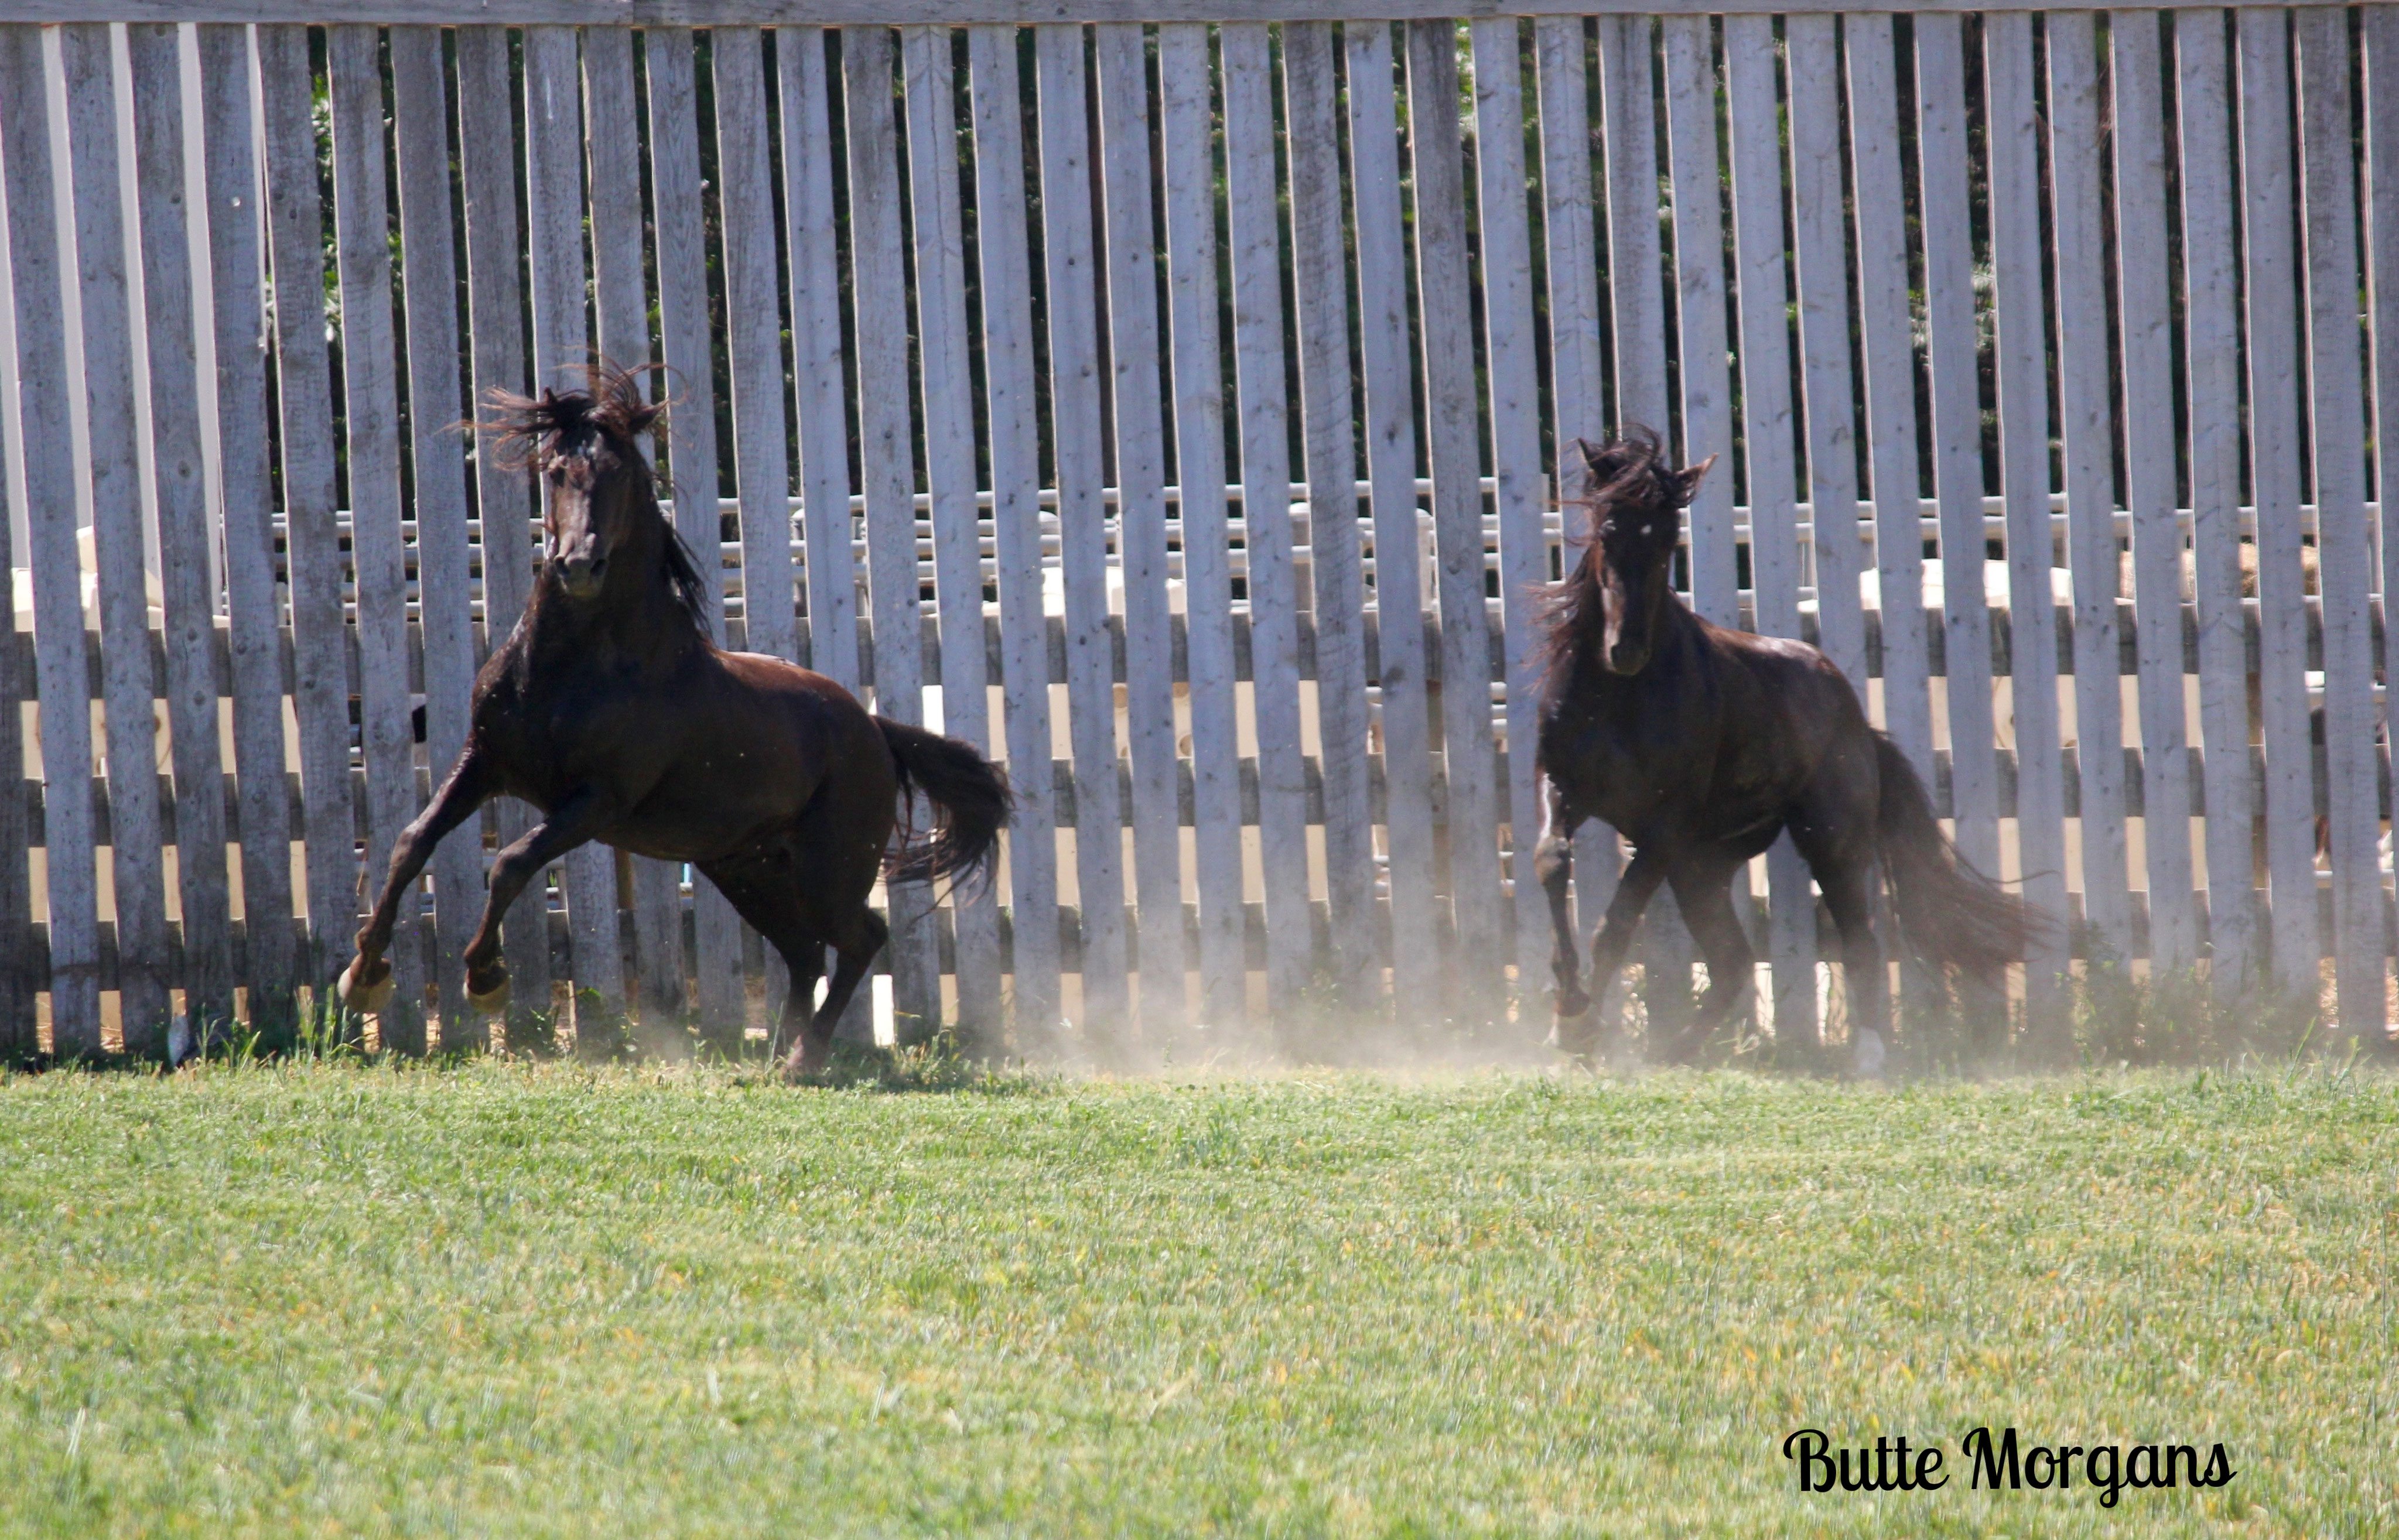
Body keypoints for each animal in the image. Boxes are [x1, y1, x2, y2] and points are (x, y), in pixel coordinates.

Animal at [333, 364, 1011, 1078]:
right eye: (555, 469)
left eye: (623, 473)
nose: (580, 565)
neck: (572, 672)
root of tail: (877, 733)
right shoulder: (483, 761)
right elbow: (412, 842)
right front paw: (364, 973)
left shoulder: (598, 802)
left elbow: (511, 863)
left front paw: (485, 978)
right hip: (746, 868)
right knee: (803, 951)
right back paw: (780, 1052)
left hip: (828, 870)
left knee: (860, 940)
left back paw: (804, 1057)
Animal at [1533, 433, 2028, 1070]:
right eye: (1606, 528)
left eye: (1667, 538)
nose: (1626, 648)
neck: (1619, 695)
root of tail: (1855, 718)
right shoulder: (1563, 787)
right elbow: (1552, 860)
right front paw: (1567, 1014)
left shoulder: (1662, 826)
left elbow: (1614, 924)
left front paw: (1582, 1026)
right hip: (1702, 866)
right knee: (1732, 962)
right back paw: (1675, 1049)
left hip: (1829, 842)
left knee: (1858, 942)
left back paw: (1868, 1055)